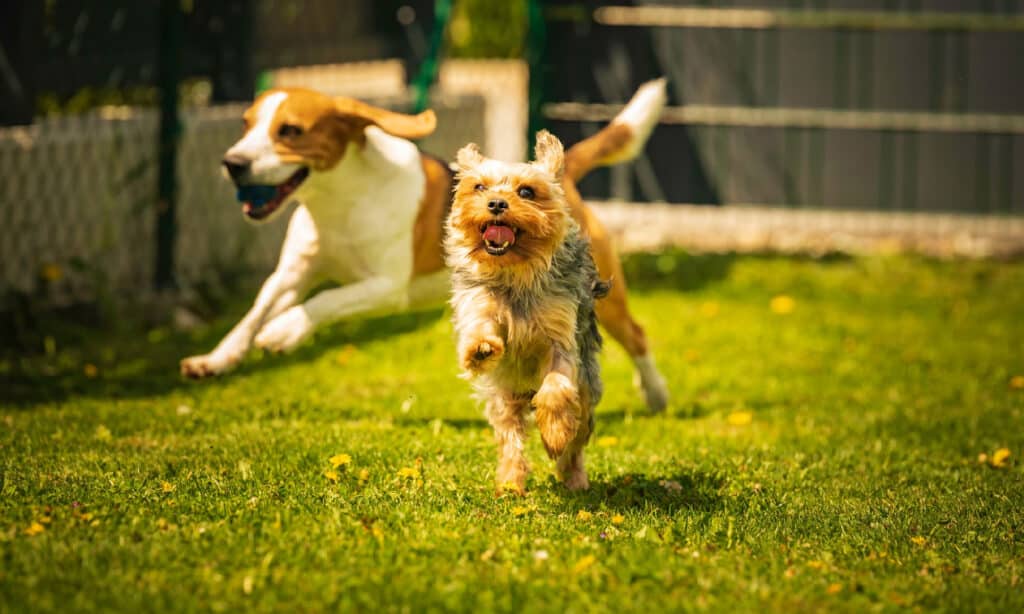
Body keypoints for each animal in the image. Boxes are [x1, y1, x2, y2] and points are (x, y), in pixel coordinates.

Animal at [448, 132, 606, 491]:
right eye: (479, 187)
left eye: (526, 192)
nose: (496, 203)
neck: (515, 272)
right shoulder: (478, 300)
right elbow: (480, 327)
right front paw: (479, 350)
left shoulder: (560, 336)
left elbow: (557, 388)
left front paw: (555, 433)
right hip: (503, 397)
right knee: (510, 435)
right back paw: (510, 482)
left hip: (587, 387)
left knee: (577, 436)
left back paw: (574, 477)